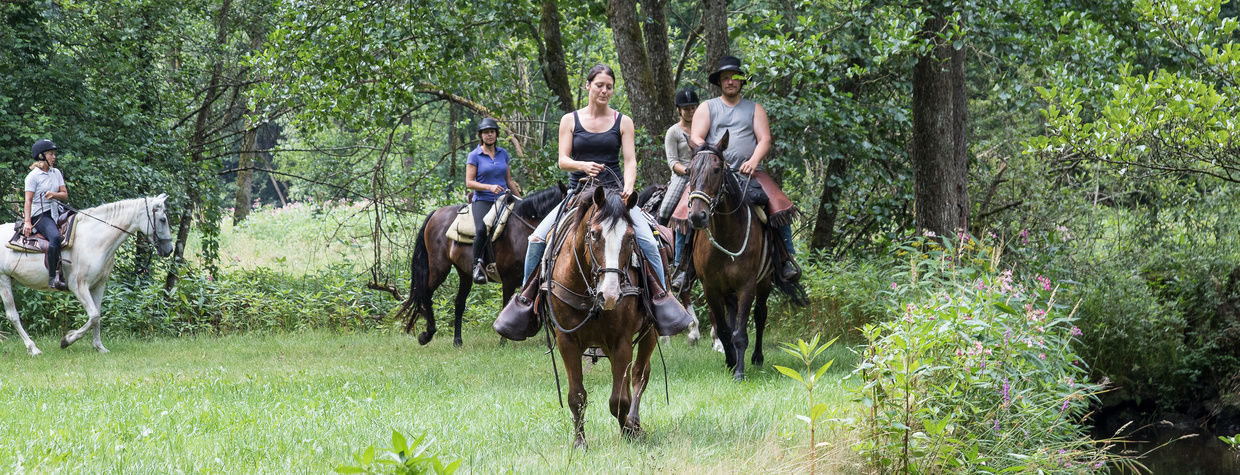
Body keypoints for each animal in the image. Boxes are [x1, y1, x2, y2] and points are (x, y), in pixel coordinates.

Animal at [0, 195, 174, 354]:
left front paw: (99, 347)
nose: (169, 250)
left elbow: (97, 315)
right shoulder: (79, 286)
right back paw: (33, 348)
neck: (94, 240)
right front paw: (67, 340)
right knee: (13, 315)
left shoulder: (99, 284)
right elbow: (94, 315)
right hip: (3, 280)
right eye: (163, 219)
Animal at [399, 184, 565, 347]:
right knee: (426, 292)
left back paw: (457, 341)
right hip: (439, 268)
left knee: (459, 303)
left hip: (464, 273)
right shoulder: (509, 279)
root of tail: (435, 213)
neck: (523, 229)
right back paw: (427, 335)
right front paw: (503, 340)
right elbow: (506, 305)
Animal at [545, 184, 659, 451]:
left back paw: (634, 422)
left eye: (630, 237)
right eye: (595, 234)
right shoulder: (567, 341)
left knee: (639, 375)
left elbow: (619, 399)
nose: (610, 294)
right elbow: (576, 396)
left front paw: (629, 431)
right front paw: (580, 442)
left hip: (649, 333)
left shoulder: (621, 341)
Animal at [684, 132, 808, 379]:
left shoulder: (747, 285)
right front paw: (730, 361)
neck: (725, 236)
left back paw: (757, 358)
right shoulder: (711, 288)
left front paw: (739, 372)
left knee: (760, 316)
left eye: (716, 170)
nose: (698, 217)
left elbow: (741, 332)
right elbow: (725, 329)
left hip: (764, 282)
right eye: (689, 170)